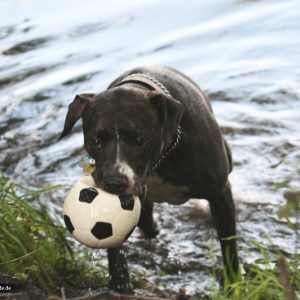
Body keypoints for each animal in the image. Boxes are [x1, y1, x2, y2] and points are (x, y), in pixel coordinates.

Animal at [59, 65, 241, 292]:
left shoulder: (219, 192)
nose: (114, 183)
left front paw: (233, 283)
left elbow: (228, 243)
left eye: (140, 140)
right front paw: (119, 280)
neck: (160, 159)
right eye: (96, 141)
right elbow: (113, 243)